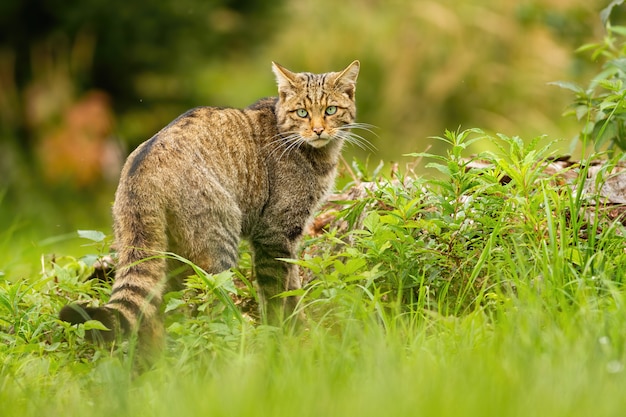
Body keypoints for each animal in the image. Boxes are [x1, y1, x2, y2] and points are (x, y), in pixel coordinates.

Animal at [59, 60, 360, 352]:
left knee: (157, 312)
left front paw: (300, 330)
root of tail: (142, 169)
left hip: (162, 252)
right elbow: (277, 295)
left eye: (331, 110)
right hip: (217, 246)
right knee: (206, 308)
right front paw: (282, 335)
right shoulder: (274, 233)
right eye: (302, 113)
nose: (318, 130)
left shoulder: (289, 237)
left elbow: (293, 286)